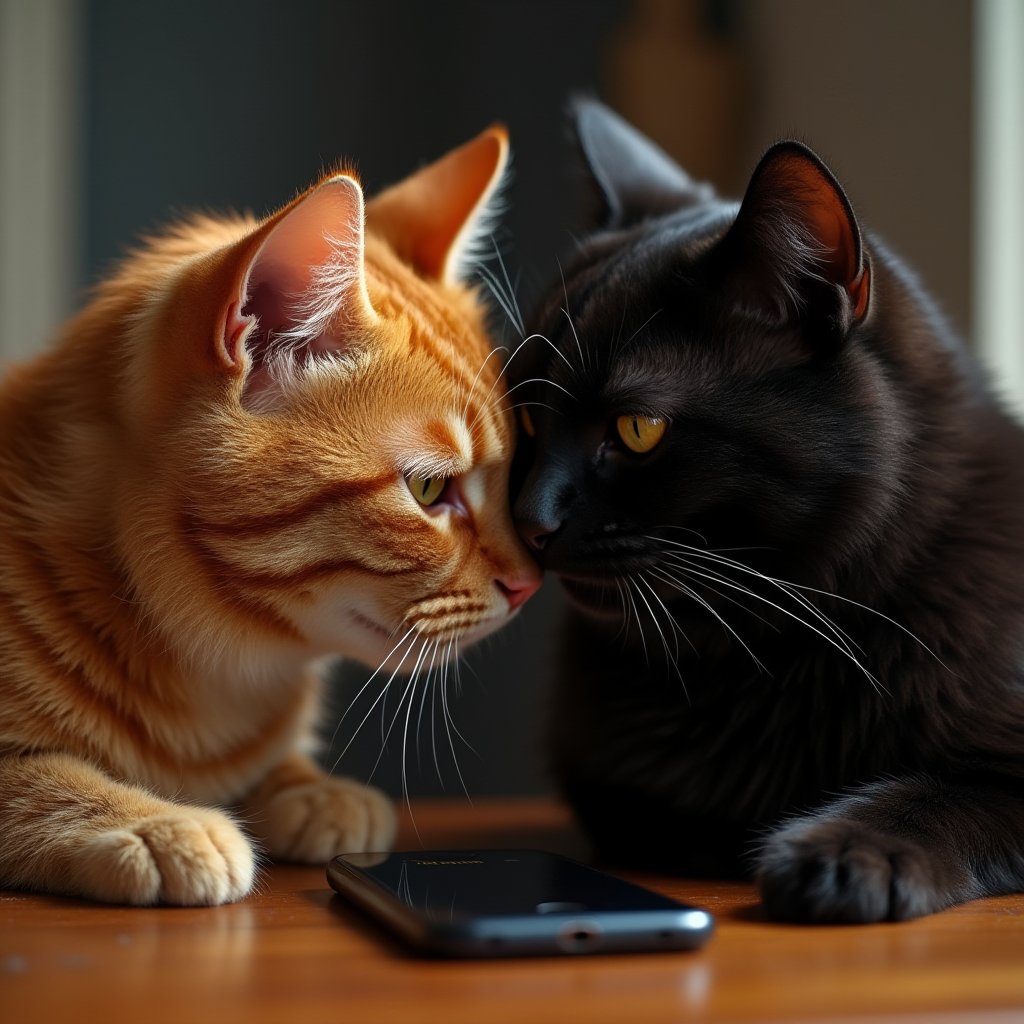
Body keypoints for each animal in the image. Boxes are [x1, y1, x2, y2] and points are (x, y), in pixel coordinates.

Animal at [512, 99, 1024, 925]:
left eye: (637, 429)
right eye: (527, 418)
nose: (530, 520)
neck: (768, 649)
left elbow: (947, 793)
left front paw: (842, 856)